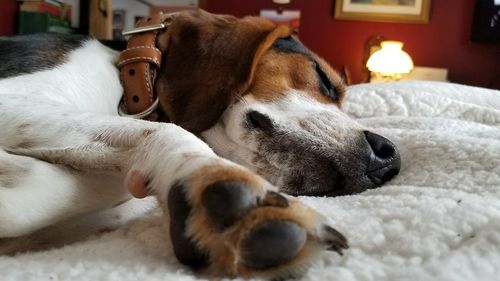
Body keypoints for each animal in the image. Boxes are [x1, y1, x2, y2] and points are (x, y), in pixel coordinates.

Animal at [0, 9, 400, 278]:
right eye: (326, 80)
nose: (390, 159)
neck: (129, 85)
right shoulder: (10, 100)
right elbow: (173, 133)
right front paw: (223, 189)